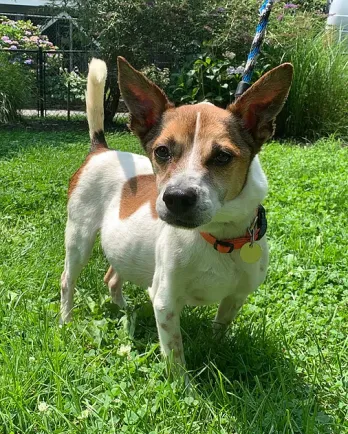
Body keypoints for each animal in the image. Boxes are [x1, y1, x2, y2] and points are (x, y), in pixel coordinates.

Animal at [61, 56, 292, 370]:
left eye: (222, 156)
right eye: (161, 151)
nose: (177, 198)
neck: (219, 237)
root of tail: (101, 150)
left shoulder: (235, 298)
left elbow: (219, 330)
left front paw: (214, 352)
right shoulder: (165, 303)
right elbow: (175, 357)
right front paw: (184, 383)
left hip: (126, 247)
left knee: (112, 277)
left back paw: (126, 311)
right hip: (78, 238)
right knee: (67, 281)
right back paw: (66, 321)